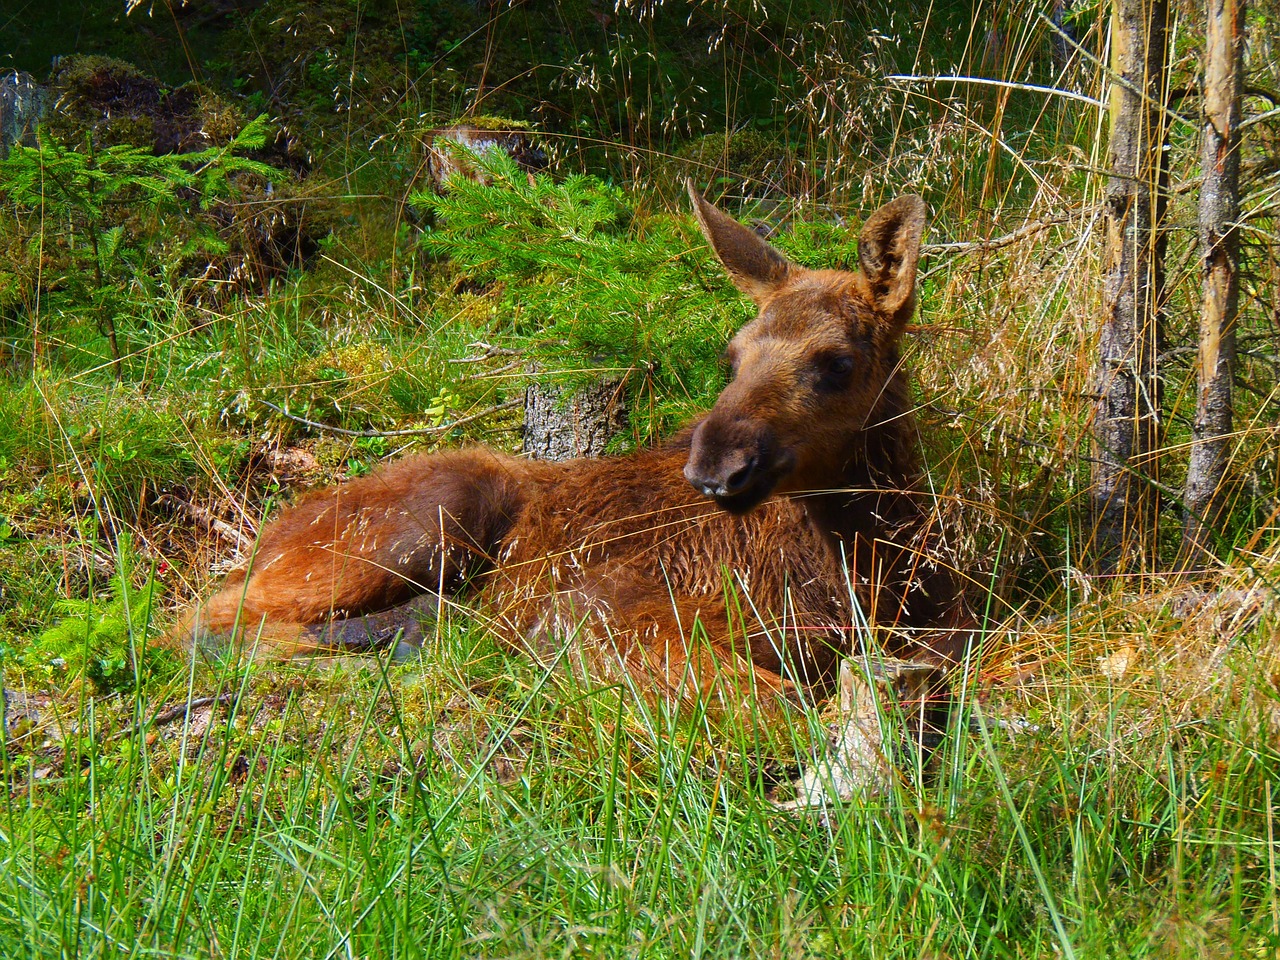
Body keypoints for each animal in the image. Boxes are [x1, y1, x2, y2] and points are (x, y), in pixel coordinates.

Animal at [172, 184, 967, 716]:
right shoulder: (597, 610)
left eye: (837, 361)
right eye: (731, 355)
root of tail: (272, 530)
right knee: (202, 621)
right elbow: (779, 710)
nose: (715, 467)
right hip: (429, 518)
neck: (866, 565)